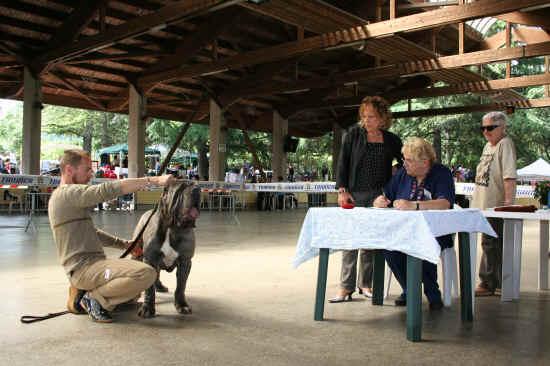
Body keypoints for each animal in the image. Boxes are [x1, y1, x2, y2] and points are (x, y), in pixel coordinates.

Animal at [133, 181, 202, 318]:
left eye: (196, 185)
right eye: (181, 188)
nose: (197, 189)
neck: (173, 227)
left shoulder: (185, 262)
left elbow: (181, 286)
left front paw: (182, 305)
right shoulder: (150, 259)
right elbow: (149, 289)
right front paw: (147, 308)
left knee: (158, 274)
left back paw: (159, 287)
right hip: (137, 255)